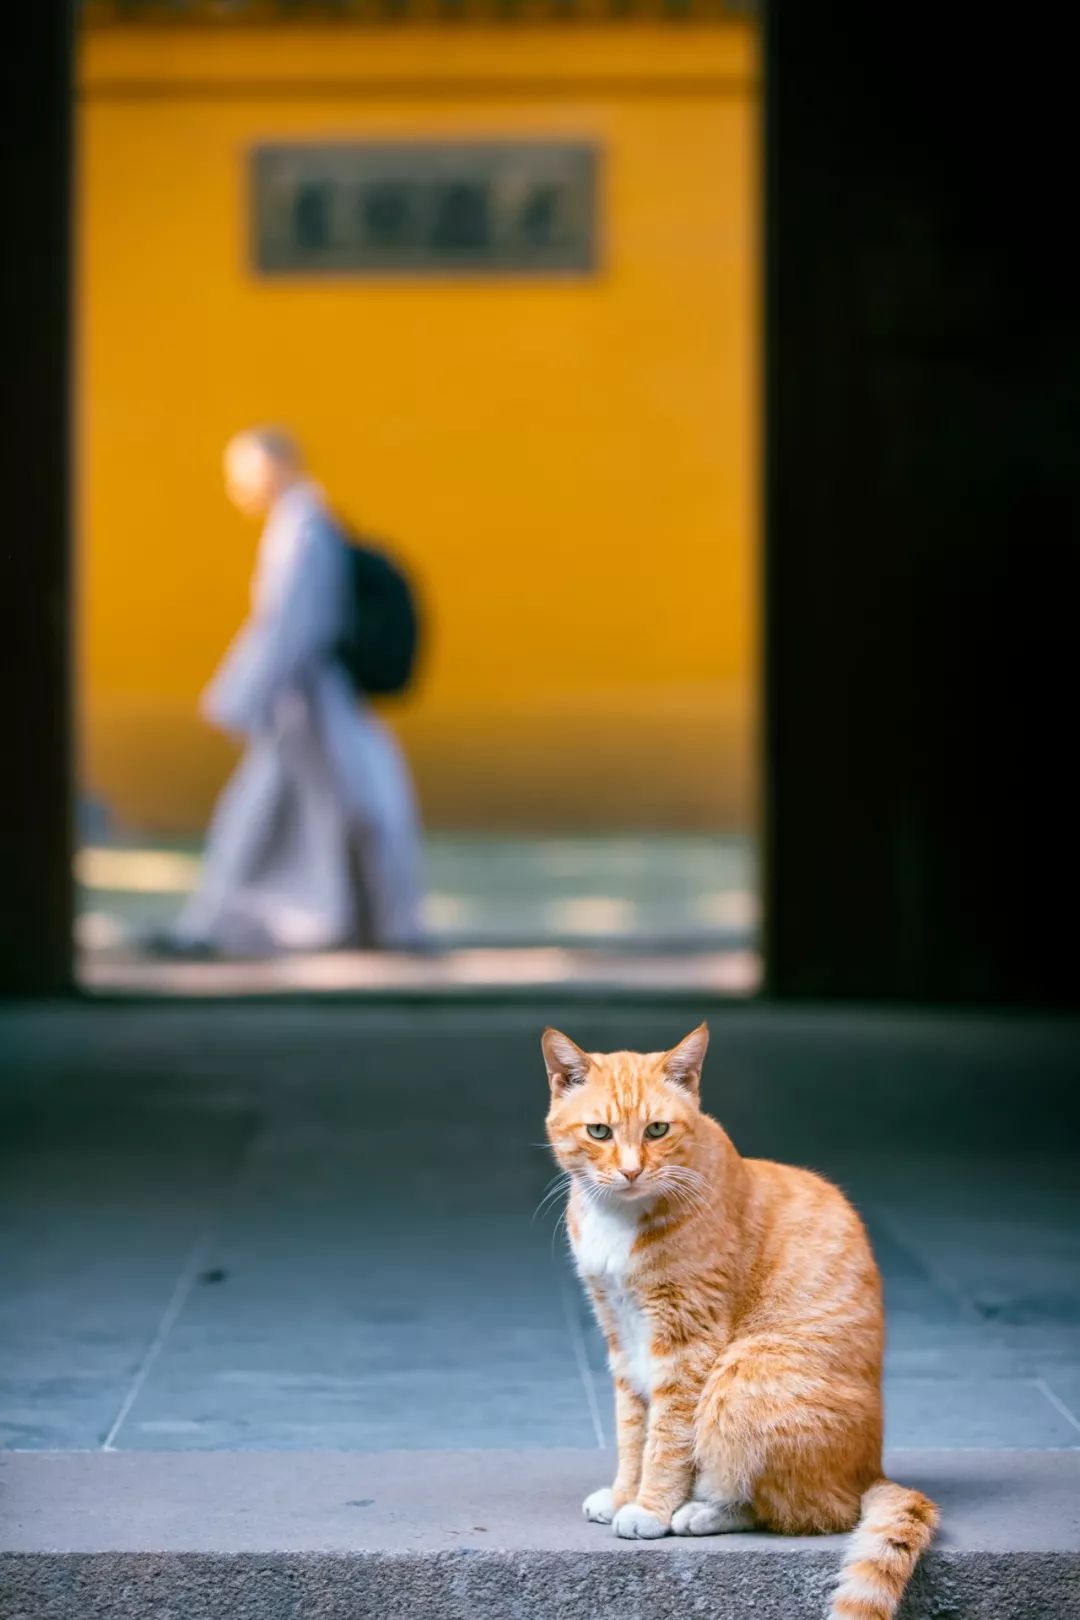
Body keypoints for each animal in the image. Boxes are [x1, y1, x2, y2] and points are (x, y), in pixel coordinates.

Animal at [544, 1023, 932, 1620]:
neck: (621, 1218)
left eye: (658, 1129)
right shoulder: (621, 1336)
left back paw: (702, 1511)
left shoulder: (686, 1342)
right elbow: (633, 1430)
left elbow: (667, 1438)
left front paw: (649, 1508)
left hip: (742, 1375)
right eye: (599, 1131)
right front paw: (624, 1494)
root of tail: (873, 1471)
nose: (631, 1170)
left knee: (812, 1512)